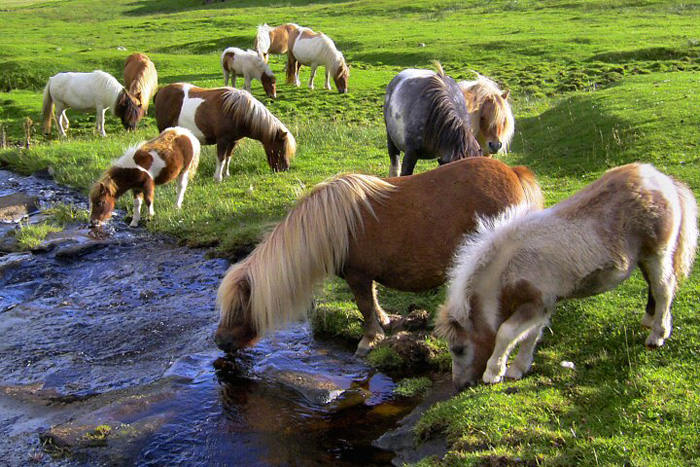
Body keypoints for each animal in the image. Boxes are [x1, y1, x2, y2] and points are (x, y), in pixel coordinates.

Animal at [154, 83, 296, 180]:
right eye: (280, 149)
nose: (285, 169)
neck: (237, 111)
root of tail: (161, 91)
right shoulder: (222, 140)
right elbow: (221, 158)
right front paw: (218, 178)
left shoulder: (233, 141)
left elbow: (228, 158)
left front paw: (226, 174)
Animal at [214, 157, 544, 357]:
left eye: (239, 307)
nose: (220, 342)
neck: (332, 225)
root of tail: (513, 173)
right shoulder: (366, 276)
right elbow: (372, 301)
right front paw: (384, 323)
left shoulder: (357, 275)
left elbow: (363, 306)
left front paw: (369, 339)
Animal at [436, 163, 698, 390]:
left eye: (458, 348)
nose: (459, 385)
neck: (508, 265)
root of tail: (663, 180)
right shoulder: (542, 306)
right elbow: (531, 335)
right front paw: (518, 369)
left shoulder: (537, 302)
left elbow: (506, 333)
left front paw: (494, 373)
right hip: (644, 257)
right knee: (654, 286)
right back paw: (649, 322)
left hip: (658, 253)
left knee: (664, 288)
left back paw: (657, 336)